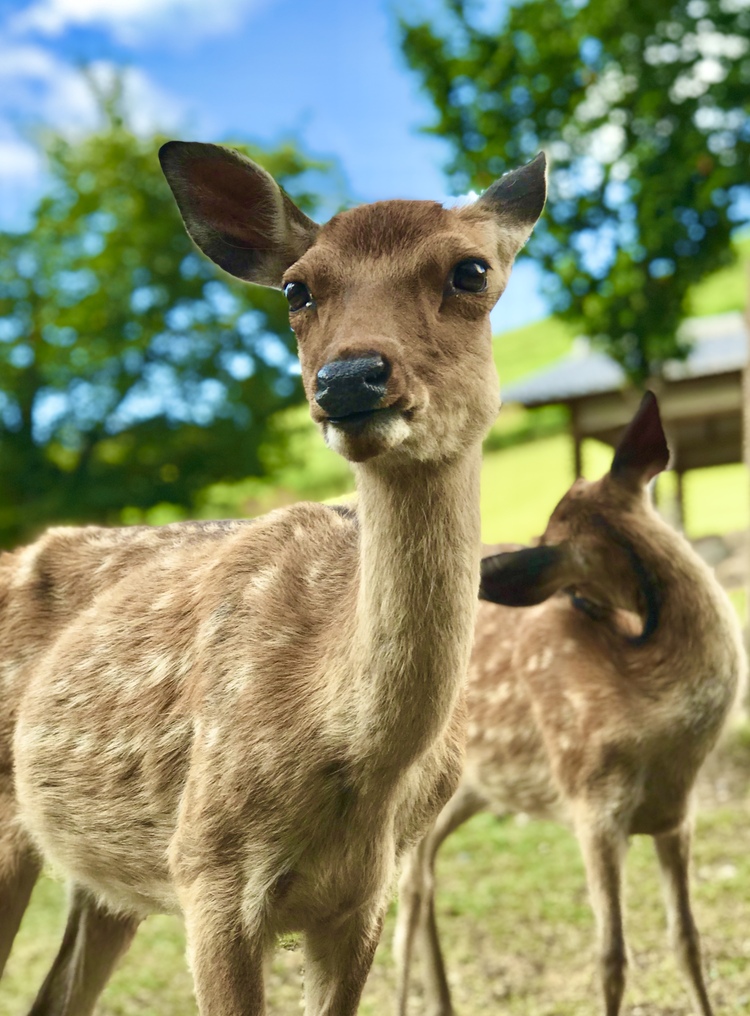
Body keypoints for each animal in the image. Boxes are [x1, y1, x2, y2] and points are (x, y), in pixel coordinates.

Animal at [0, 143, 544, 1016]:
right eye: (298, 288)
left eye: (471, 271)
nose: (349, 378)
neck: (353, 754)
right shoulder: (208, 871)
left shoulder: (364, 898)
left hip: (109, 881)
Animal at [394, 392, 743, 1016]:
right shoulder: (591, 802)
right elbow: (611, 957)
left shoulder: (678, 814)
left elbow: (688, 939)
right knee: (406, 891)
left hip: (471, 791)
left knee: (426, 872)